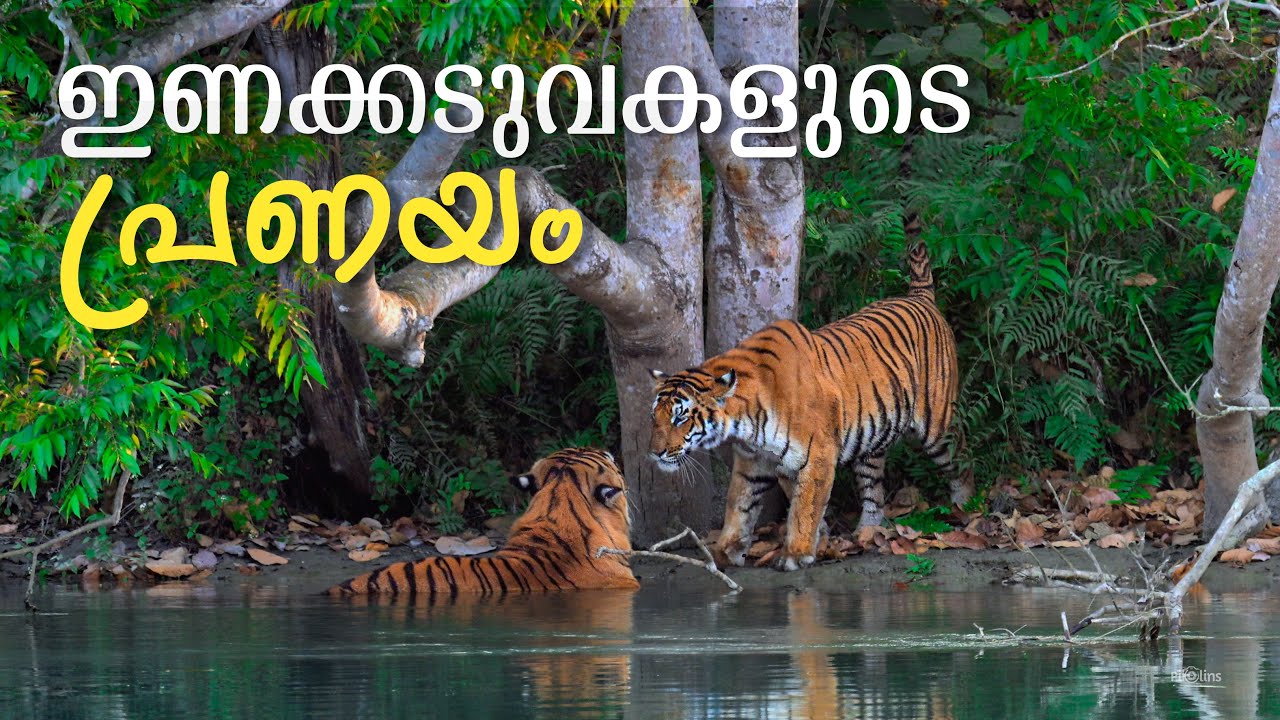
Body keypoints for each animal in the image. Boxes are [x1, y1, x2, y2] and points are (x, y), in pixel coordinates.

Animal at [648, 243, 969, 571]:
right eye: (654, 418)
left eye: (680, 418)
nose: (655, 453)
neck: (745, 422)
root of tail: (918, 296)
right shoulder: (754, 462)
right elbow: (740, 505)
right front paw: (726, 552)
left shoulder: (818, 455)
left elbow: (805, 507)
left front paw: (796, 553)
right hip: (872, 440)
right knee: (873, 488)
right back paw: (867, 531)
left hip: (938, 427)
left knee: (961, 462)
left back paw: (966, 508)